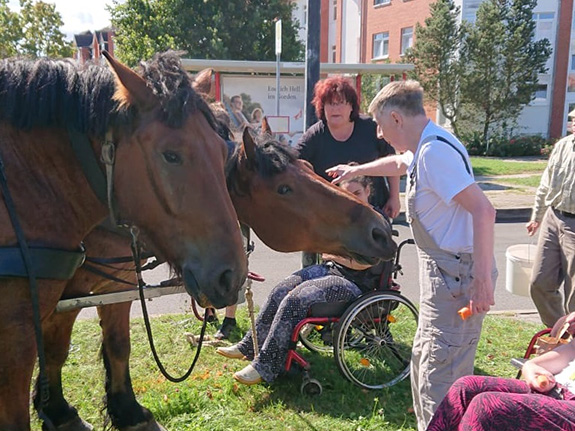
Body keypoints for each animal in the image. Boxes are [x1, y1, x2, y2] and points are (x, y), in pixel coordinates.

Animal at [0, 53, 246, 431]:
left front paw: (118, 409)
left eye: (223, 151)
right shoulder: (20, 326)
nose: (230, 277)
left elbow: (109, 344)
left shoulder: (106, 283)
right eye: (170, 154)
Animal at [36, 123, 396, 430]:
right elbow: (66, 349)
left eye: (308, 166)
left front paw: (93, 412)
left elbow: (101, 347)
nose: (381, 229)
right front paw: (60, 410)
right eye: (284, 188)